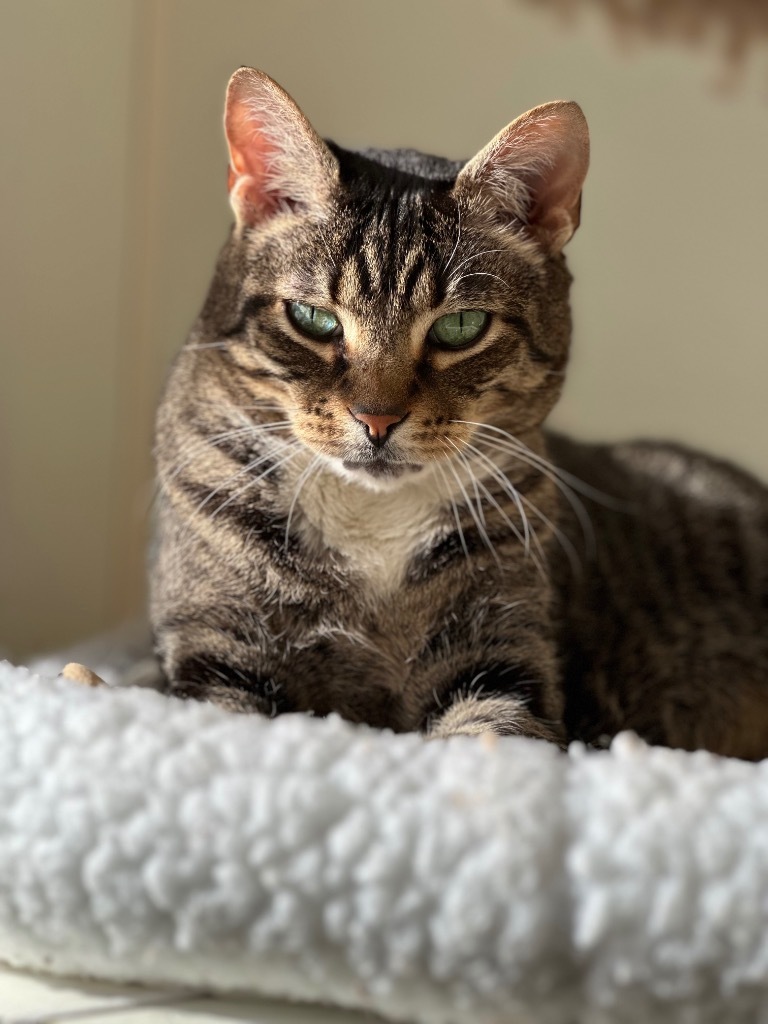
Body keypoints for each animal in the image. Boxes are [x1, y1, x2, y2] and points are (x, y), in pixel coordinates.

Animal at [150, 70, 768, 761]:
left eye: (460, 327)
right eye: (313, 318)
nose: (377, 419)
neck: (371, 522)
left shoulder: (501, 662)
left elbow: (490, 735)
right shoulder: (217, 654)